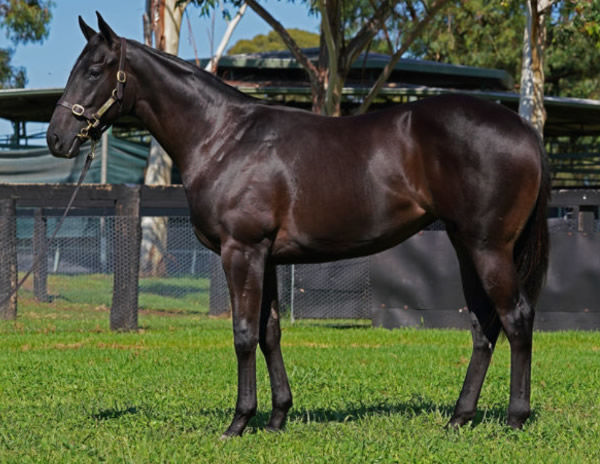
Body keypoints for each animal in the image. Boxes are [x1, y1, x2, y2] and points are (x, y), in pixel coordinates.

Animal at [48, 12, 548, 436]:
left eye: (95, 70)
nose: (56, 138)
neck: (223, 137)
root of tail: (524, 129)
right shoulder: (266, 257)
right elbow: (270, 333)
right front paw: (276, 418)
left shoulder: (242, 251)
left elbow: (244, 334)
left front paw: (238, 422)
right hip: (467, 246)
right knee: (484, 326)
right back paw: (459, 418)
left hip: (488, 248)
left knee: (517, 318)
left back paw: (515, 418)